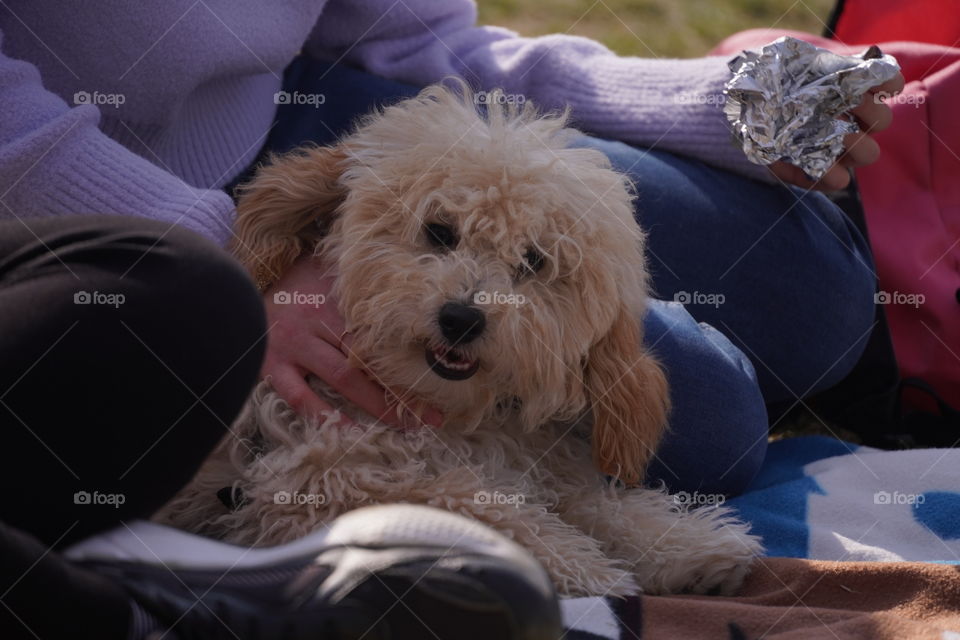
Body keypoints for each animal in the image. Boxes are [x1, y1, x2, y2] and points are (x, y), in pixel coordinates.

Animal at [158, 82, 760, 596]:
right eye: (439, 231)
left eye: (534, 261)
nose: (462, 319)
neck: (438, 413)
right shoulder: (314, 485)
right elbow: (468, 506)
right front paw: (578, 564)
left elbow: (601, 506)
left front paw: (689, 547)